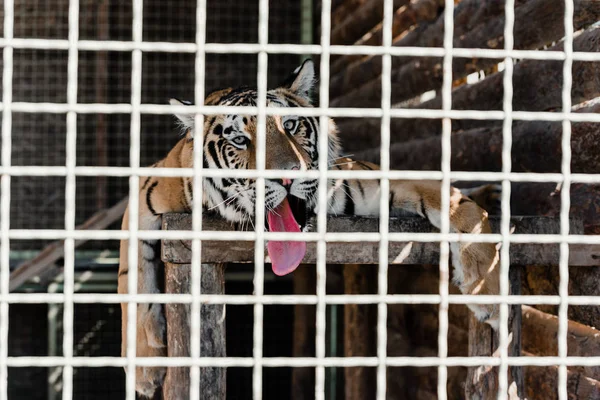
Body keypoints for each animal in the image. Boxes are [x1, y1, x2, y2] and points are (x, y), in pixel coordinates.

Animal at [115, 59, 500, 396]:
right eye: (240, 140)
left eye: (290, 126)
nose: (287, 176)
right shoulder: (146, 193)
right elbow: (132, 279)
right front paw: (144, 367)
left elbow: (458, 204)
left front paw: (489, 291)